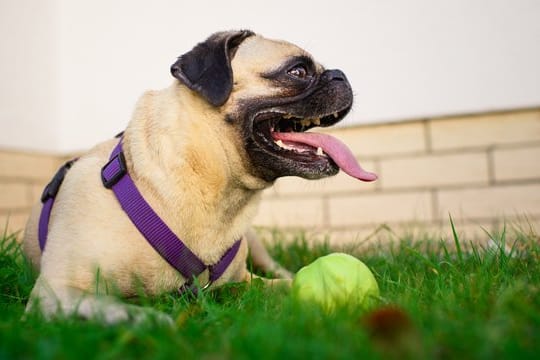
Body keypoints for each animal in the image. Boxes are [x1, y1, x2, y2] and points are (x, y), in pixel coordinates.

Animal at [23, 30, 378, 324]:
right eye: (298, 71)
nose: (340, 74)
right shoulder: (59, 290)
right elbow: (115, 308)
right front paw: (149, 319)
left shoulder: (245, 281)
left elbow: (284, 285)